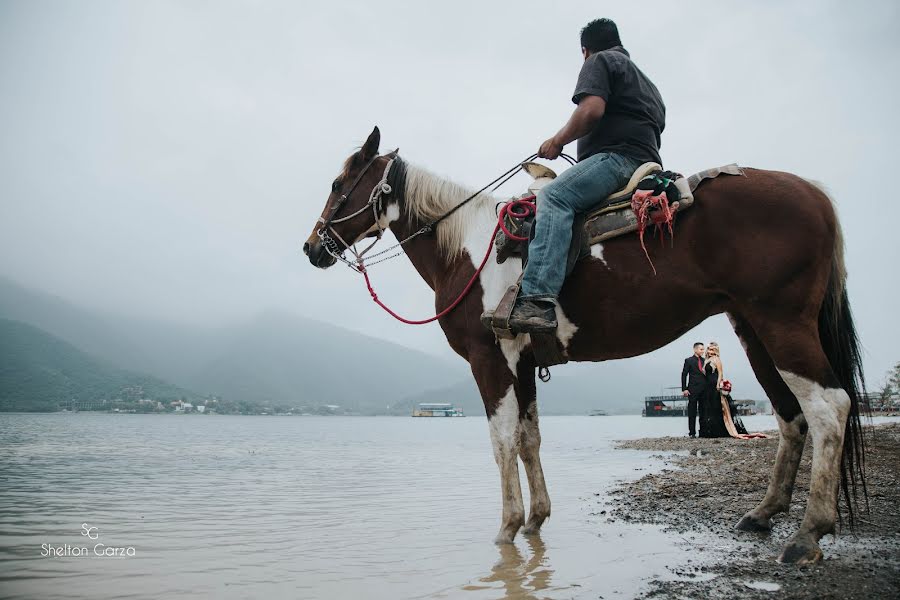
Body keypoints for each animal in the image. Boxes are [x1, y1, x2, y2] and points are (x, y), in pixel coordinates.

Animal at [306, 124, 868, 564]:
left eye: (338, 183)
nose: (313, 247)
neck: (469, 248)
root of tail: (814, 194)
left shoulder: (490, 360)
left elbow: (502, 441)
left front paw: (507, 527)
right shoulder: (523, 363)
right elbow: (529, 438)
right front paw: (536, 519)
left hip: (781, 322)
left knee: (829, 407)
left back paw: (808, 532)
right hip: (752, 328)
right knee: (791, 415)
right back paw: (763, 514)